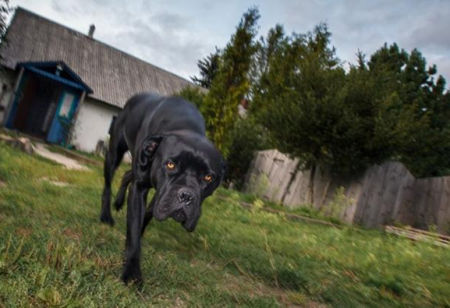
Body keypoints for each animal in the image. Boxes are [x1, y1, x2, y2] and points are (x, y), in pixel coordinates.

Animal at [99, 93, 224, 284]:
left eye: (208, 177)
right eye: (170, 164)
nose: (186, 196)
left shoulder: (159, 196)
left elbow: (142, 220)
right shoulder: (140, 188)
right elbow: (134, 230)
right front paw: (132, 272)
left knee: (127, 174)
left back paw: (119, 202)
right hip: (115, 153)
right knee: (108, 183)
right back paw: (106, 215)